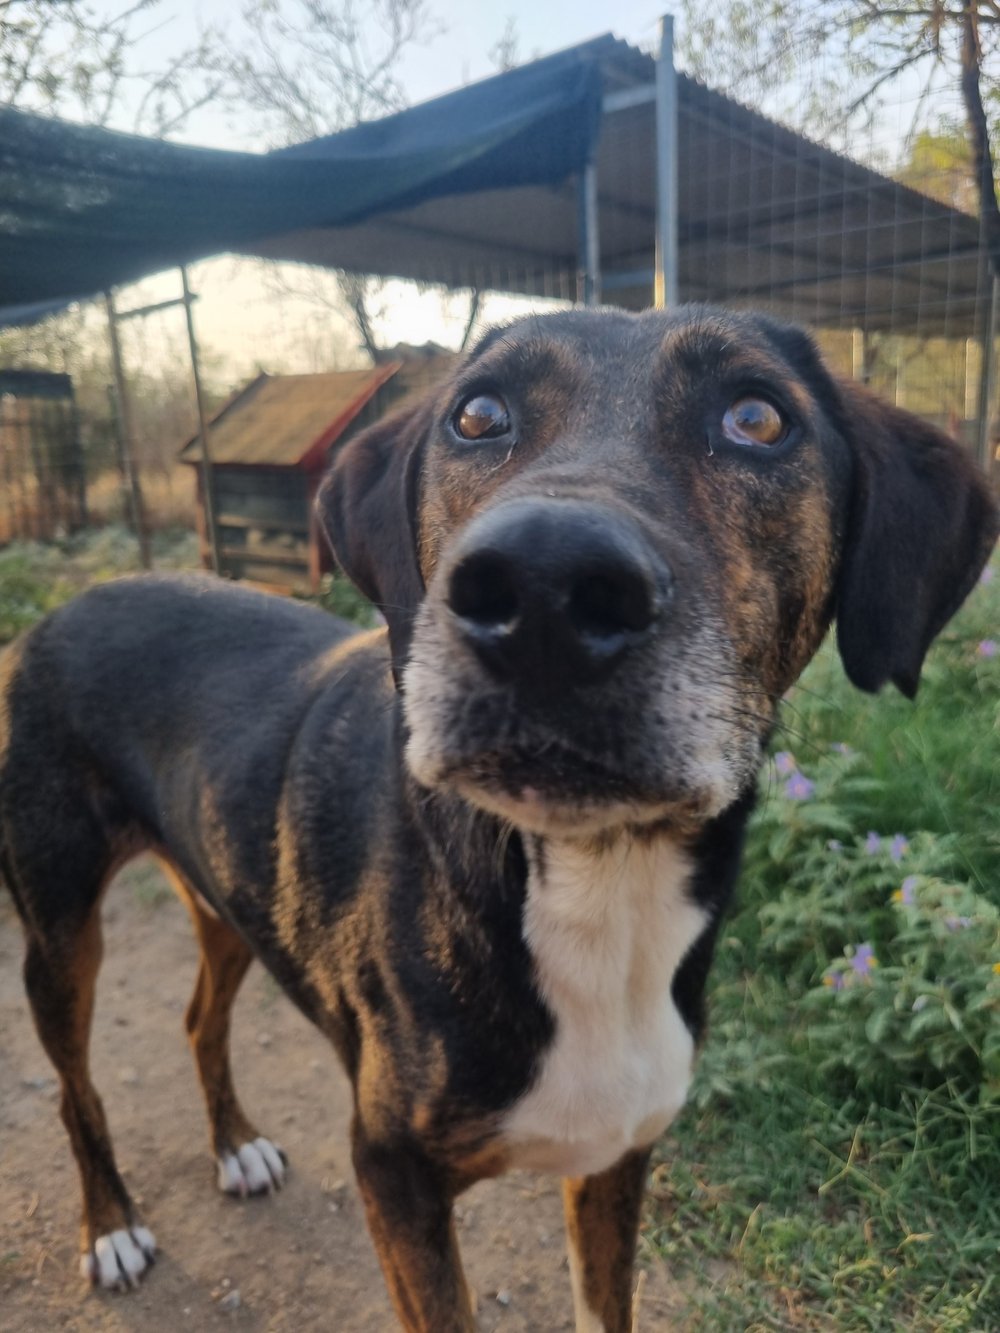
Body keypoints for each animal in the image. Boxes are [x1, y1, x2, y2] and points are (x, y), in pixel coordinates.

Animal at [0, 306, 996, 1332]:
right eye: (477, 415)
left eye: (758, 418)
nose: (543, 588)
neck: (593, 884)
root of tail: (70, 603)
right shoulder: (394, 1175)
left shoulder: (615, 1159)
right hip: (59, 929)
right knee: (76, 1089)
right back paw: (113, 1227)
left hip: (225, 895)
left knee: (200, 1019)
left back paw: (234, 1143)